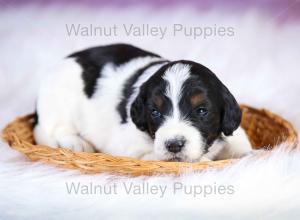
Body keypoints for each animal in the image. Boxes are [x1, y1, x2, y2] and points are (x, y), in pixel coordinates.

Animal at [34, 43, 252, 162]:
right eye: (155, 112)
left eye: (201, 110)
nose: (174, 145)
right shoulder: (125, 145)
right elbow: (152, 156)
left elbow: (239, 141)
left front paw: (249, 155)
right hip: (58, 100)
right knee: (55, 129)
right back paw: (77, 143)